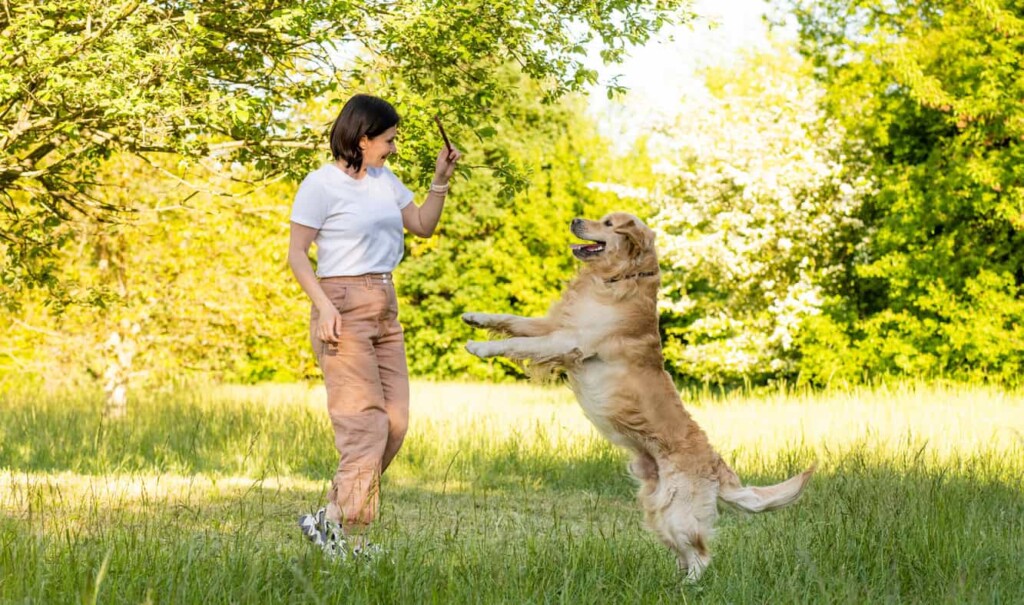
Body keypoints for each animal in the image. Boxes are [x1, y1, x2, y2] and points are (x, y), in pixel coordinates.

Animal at [464, 212, 815, 581]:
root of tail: (717, 467)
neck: (617, 278)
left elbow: (517, 342)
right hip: (656, 507)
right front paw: (475, 318)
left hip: (678, 512)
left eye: (607, 223)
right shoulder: (554, 327)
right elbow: (512, 321)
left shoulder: (568, 341)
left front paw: (479, 347)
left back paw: (688, 587)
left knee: (702, 555)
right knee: (685, 554)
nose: (575, 219)